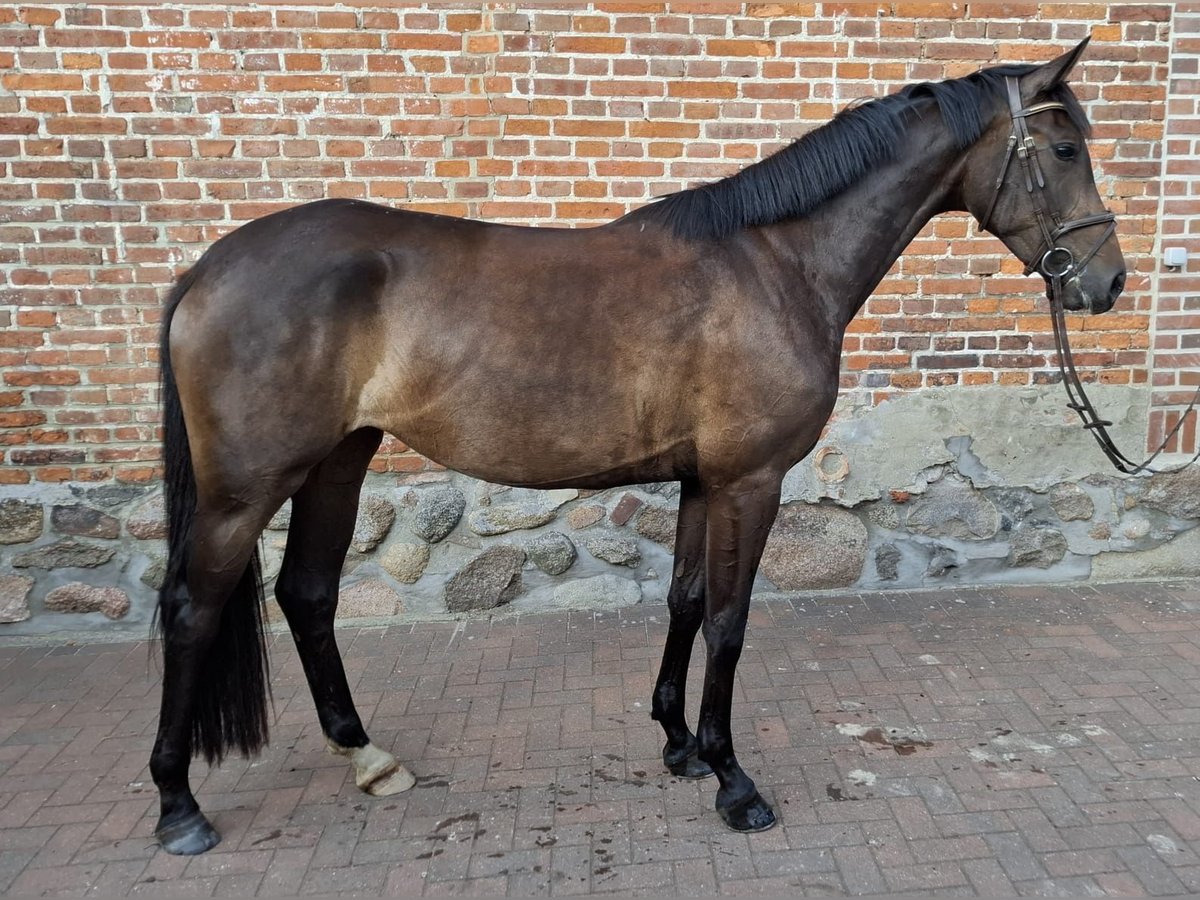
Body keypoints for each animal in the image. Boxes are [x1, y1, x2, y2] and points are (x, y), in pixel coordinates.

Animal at [150, 38, 1126, 854]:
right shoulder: (750, 482)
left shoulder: (701, 481)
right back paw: (178, 805)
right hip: (244, 491)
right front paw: (734, 782)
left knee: (308, 595)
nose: (1107, 283)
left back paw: (368, 757)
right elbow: (730, 623)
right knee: (192, 610)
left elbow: (686, 603)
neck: (778, 266)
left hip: (337, 463)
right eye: (1064, 150)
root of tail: (206, 270)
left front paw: (679, 744)